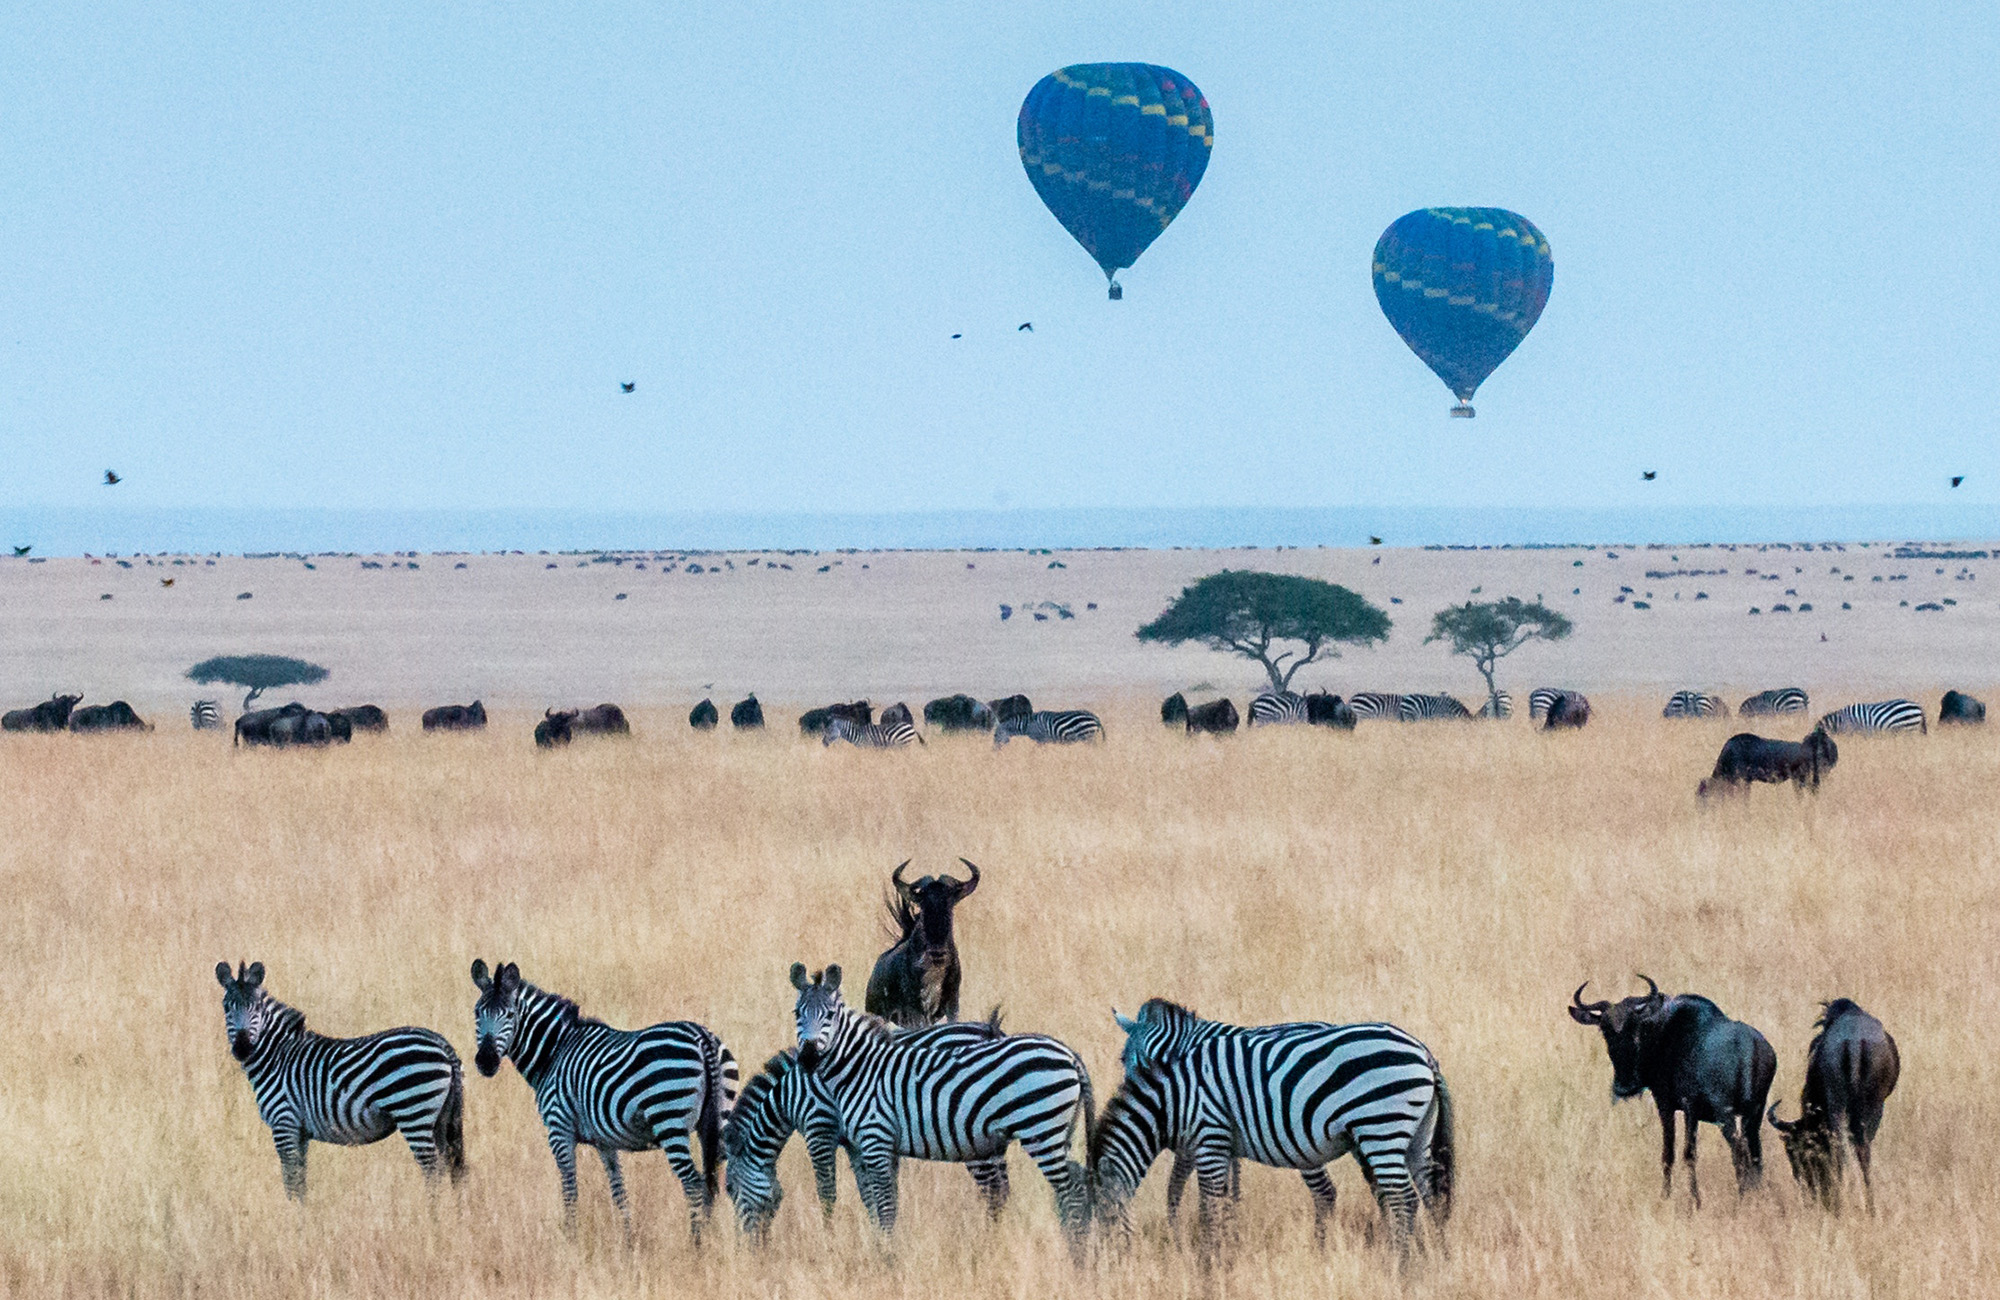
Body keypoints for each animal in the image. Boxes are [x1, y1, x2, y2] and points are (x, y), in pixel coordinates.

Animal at [215, 952, 464, 1192]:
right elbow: (301, 1181)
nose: (242, 1048)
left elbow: (291, 1181)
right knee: (450, 1165)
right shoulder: (300, 1132)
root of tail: (441, 1042)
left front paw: (290, 1208)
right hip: (442, 1117)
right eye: (226, 1007)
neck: (277, 1055)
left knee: (432, 1169)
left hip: (413, 1110)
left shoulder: (284, 1122)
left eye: (256, 1007)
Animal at [466, 952, 736, 1232]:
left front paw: (570, 1236)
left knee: (694, 1184)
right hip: (718, 1120)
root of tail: (703, 1038)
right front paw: (628, 1237)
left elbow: (570, 1190)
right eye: (477, 1013)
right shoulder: (604, 1141)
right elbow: (618, 1191)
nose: (486, 1061)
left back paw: (696, 1239)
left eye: (509, 1015)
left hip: (669, 1120)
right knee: (717, 1182)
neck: (555, 1051)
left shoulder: (559, 1130)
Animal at [720, 1012, 1008, 1232]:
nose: (747, 1247)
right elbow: (869, 1194)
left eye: (730, 1189)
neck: (790, 1094)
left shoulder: (819, 1128)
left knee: (994, 1190)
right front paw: (877, 1235)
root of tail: (989, 1030)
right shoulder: (856, 1141)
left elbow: (827, 1192)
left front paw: (829, 1237)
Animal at [784, 960, 1096, 1232]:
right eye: (797, 1014)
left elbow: (875, 1203)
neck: (861, 1067)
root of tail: (1070, 1055)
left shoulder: (869, 1137)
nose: (808, 1057)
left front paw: (883, 1252)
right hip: (1057, 1133)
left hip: (1040, 1129)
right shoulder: (872, 1145)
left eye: (830, 1015)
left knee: (1071, 1192)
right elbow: (883, 1202)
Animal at [1096, 996, 1456, 1248]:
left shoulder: (1206, 1127)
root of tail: (1424, 1054)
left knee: (1373, 1194)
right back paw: (1431, 1253)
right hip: (1405, 1134)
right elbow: (1220, 1188)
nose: (1135, 1086)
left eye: (1145, 1062)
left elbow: (1186, 1188)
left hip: (1371, 1127)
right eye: (1124, 1060)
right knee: (1420, 1192)